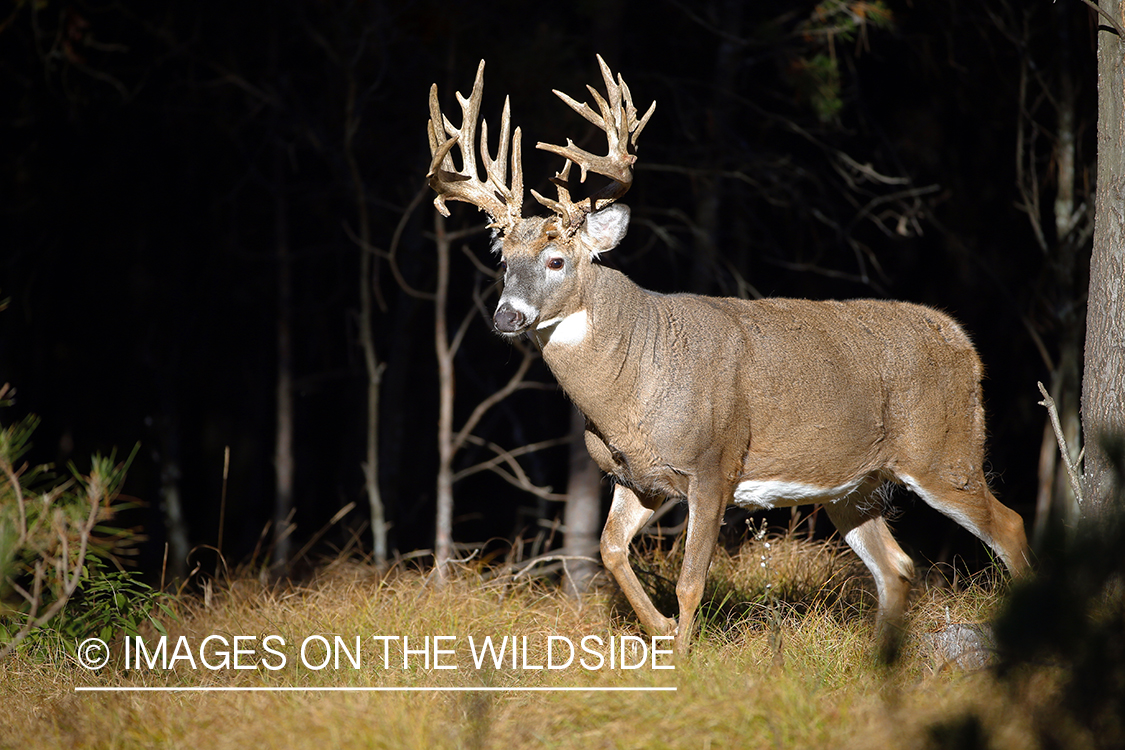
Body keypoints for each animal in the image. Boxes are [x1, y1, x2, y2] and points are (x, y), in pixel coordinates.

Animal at [425, 55, 1030, 661]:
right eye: (503, 260)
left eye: (555, 261)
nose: (507, 316)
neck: (632, 385)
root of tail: (962, 342)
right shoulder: (638, 477)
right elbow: (609, 550)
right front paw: (661, 630)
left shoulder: (713, 464)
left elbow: (692, 579)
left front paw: (683, 656)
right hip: (853, 485)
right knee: (897, 566)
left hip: (944, 452)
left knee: (1011, 525)